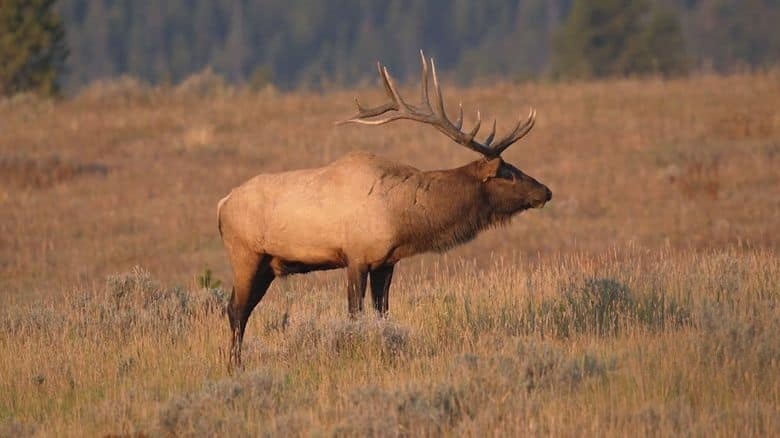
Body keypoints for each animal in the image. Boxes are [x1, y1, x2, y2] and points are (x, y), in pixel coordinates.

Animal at [218, 52, 552, 368]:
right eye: (507, 172)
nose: (545, 191)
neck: (401, 215)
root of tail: (222, 204)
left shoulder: (386, 262)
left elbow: (383, 313)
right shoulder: (356, 256)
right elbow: (354, 314)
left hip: (267, 266)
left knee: (242, 308)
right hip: (245, 255)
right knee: (235, 309)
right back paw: (235, 365)